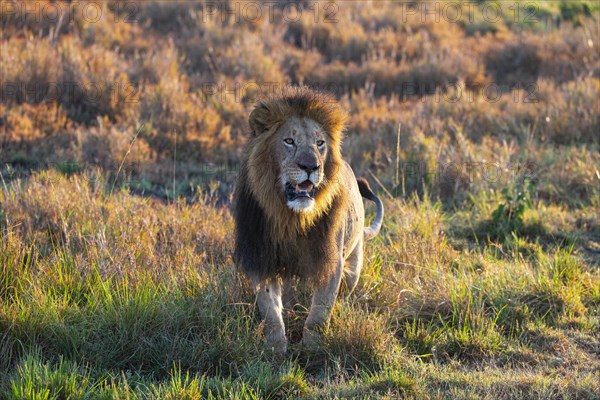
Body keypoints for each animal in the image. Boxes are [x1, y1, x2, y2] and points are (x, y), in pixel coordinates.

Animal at [234, 86, 384, 354]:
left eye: (319, 143)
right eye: (289, 141)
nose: (310, 167)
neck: (291, 218)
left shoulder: (331, 261)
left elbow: (319, 313)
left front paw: (312, 349)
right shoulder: (261, 258)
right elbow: (270, 310)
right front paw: (275, 349)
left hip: (354, 261)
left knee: (345, 292)